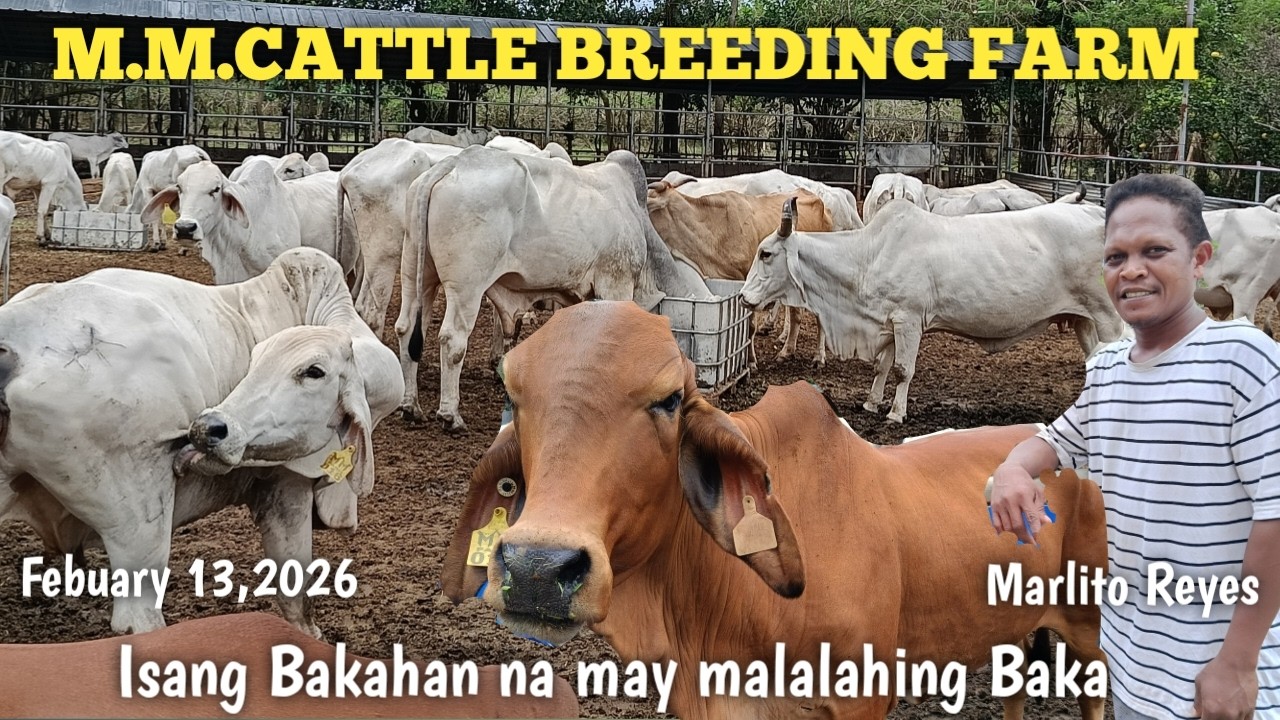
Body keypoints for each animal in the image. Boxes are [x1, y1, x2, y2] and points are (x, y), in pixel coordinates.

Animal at [0, 248, 402, 637]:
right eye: (256, 361)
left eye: (313, 372)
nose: (207, 428)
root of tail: (13, 338)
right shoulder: (286, 487)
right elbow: (297, 598)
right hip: (140, 526)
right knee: (139, 618)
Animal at [396, 146, 713, 431]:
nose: (700, 383)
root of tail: (450, 165)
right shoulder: (616, 283)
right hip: (467, 286)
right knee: (452, 340)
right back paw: (451, 416)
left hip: (416, 272)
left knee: (406, 328)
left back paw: (411, 406)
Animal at [741, 199, 1124, 423]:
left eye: (765, 253)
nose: (744, 297)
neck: (869, 255)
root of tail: (1098, 212)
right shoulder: (890, 321)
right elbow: (882, 366)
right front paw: (871, 403)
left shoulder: (909, 320)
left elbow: (902, 370)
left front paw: (896, 413)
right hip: (1083, 319)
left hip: (1108, 317)